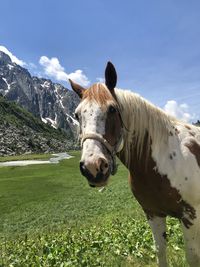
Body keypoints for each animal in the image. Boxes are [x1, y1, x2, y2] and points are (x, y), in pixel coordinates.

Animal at [69, 62, 200, 267]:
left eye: (112, 109)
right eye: (76, 115)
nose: (92, 167)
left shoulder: (190, 216)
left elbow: (193, 257)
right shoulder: (153, 213)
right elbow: (160, 251)